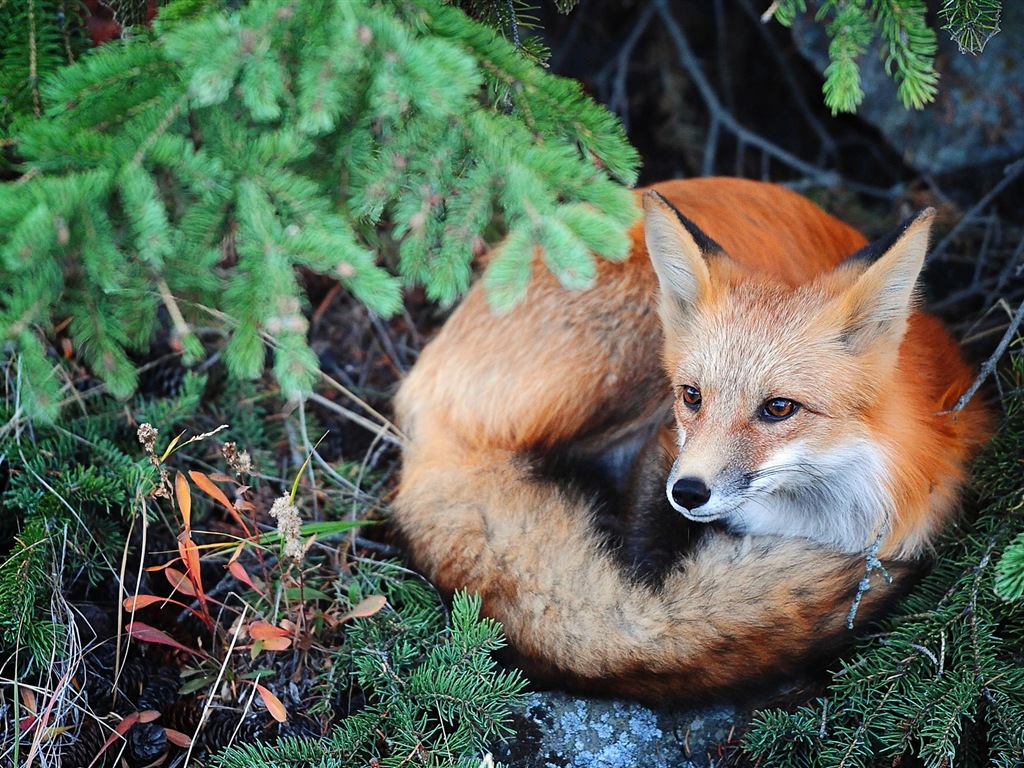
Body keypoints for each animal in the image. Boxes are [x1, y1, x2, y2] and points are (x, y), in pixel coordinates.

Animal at [391, 176, 991, 704]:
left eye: (779, 408)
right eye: (692, 396)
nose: (689, 493)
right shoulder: (665, 442)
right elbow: (636, 611)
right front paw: (641, 619)